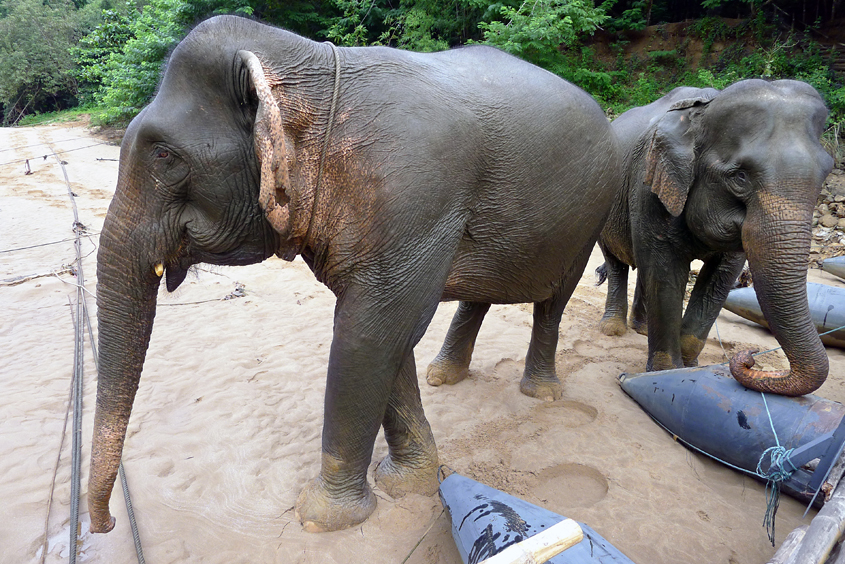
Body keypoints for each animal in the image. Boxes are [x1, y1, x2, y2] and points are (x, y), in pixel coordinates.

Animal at [89, 12, 620, 532]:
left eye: (164, 156)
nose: (108, 524)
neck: (313, 69)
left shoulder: (410, 200)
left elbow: (369, 333)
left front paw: (322, 518)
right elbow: (386, 337)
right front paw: (410, 483)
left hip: (589, 216)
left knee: (554, 302)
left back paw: (542, 392)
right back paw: (446, 375)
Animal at [596, 78, 836, 396]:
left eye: (825, 173)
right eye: (740, 177)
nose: (748, 359)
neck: (703, 112)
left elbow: (720, 278)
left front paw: (688, 367)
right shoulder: (648, 186)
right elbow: (664, 271)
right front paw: (665, 371)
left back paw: (642, 329)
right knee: (616, 261)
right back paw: (613, 329)